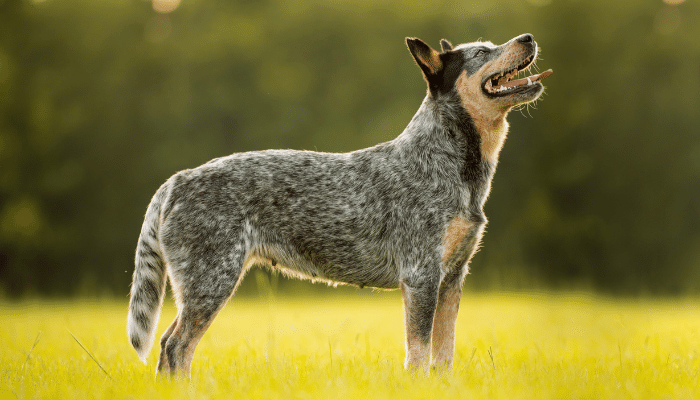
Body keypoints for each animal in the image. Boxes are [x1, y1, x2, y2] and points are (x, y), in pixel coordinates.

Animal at [127, 32, 552, 376]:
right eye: (482, 52)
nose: (528, 37)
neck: (445, 159)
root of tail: (177, 180)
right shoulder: (421, 276)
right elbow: (418, 352)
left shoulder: (452, 279)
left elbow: (443, 354)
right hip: (211, 281)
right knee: (176, 346)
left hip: (201, 287)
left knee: (169, 345)